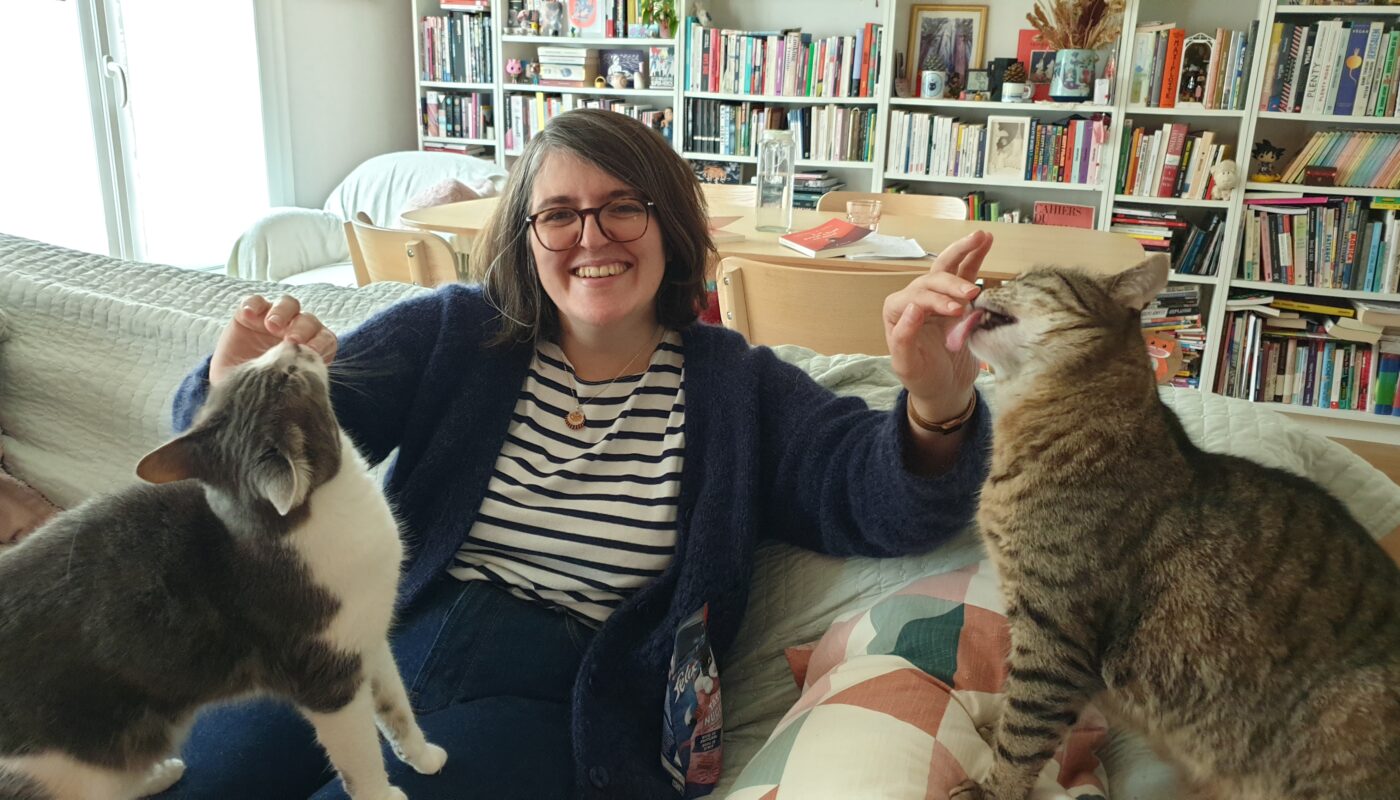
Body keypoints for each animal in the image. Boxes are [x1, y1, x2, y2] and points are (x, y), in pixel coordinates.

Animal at [0, 341, 446, 800]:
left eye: (245, 370)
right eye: (286, 377)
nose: (292, 343)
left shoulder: (367, 639)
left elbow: (395, 706)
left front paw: (423, 755)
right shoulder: (326, 679)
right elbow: (361, 757)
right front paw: (383, 793)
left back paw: (158, 773)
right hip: (65, 768)